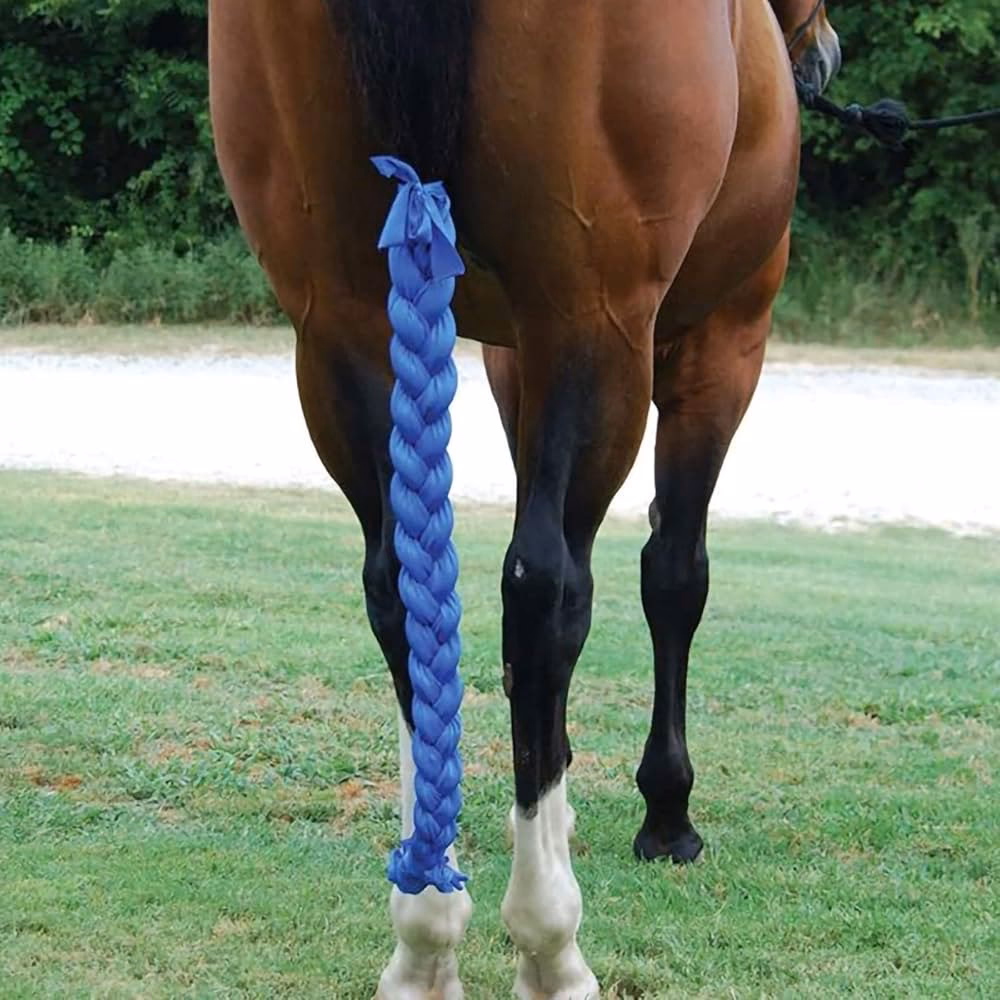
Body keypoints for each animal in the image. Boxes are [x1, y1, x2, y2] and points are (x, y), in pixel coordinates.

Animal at [208, 1, 841, 995]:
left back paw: (425, 932)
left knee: (401, 591)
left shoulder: (506, 355)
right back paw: (549, 940)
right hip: (596, 320)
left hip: (339, 324)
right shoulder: (723, 339)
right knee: (547, 592)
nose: (820, 57)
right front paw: (667, 812)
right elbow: (674, 575)